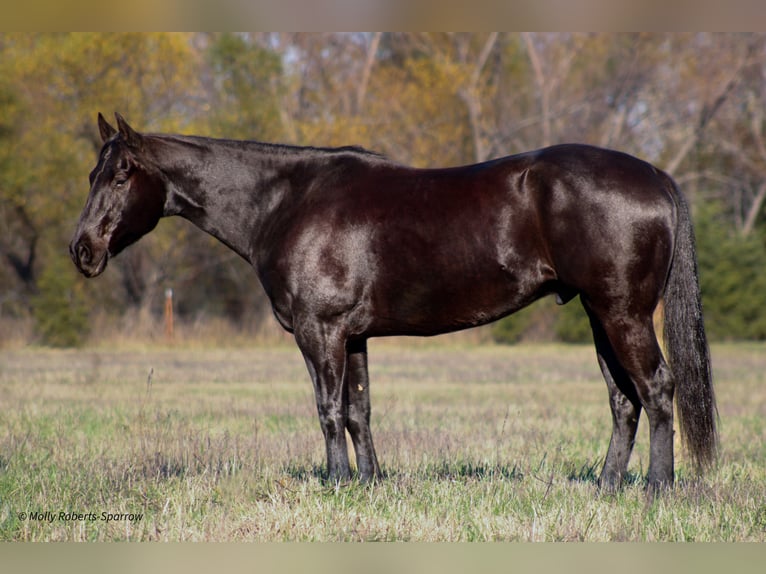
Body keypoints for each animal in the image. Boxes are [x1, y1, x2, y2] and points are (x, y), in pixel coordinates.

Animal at [72, 115, 720, 492]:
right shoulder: (353, 336)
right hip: (597, 314)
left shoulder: (320, 332)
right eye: (92, 173)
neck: (285, 201)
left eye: (123, 174)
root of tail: (656, 175)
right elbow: (359, 410)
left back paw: (658, 489)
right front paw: (369, 484)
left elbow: (328, 409)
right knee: (624, 400)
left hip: (622, 313)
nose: (82, 249)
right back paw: (606, 487)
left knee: (656, 389)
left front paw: (335, 486)